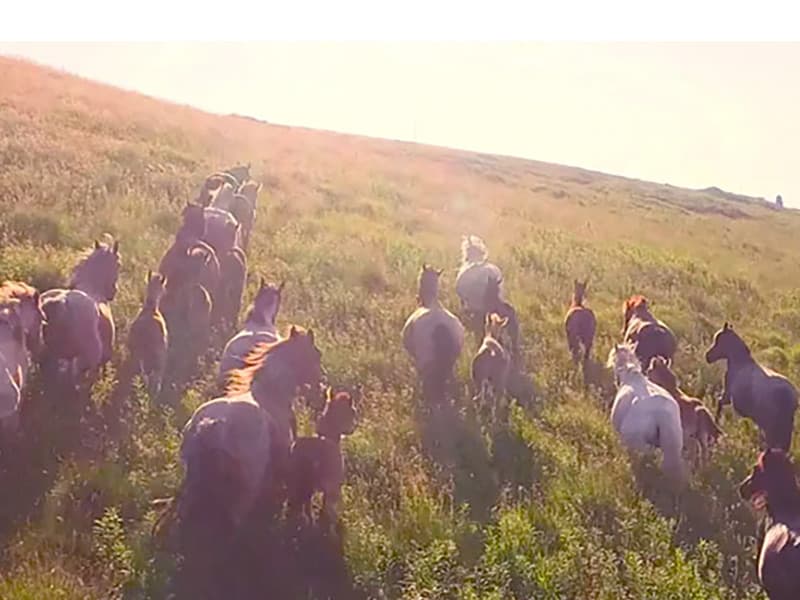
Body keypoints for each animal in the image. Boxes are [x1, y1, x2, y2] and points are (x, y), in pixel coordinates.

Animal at [404, 264, 466, 406]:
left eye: (420, 278)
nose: (417, 297)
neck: (432, 303)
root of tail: (440, 326)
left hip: (426, 363)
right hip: (451, 362)